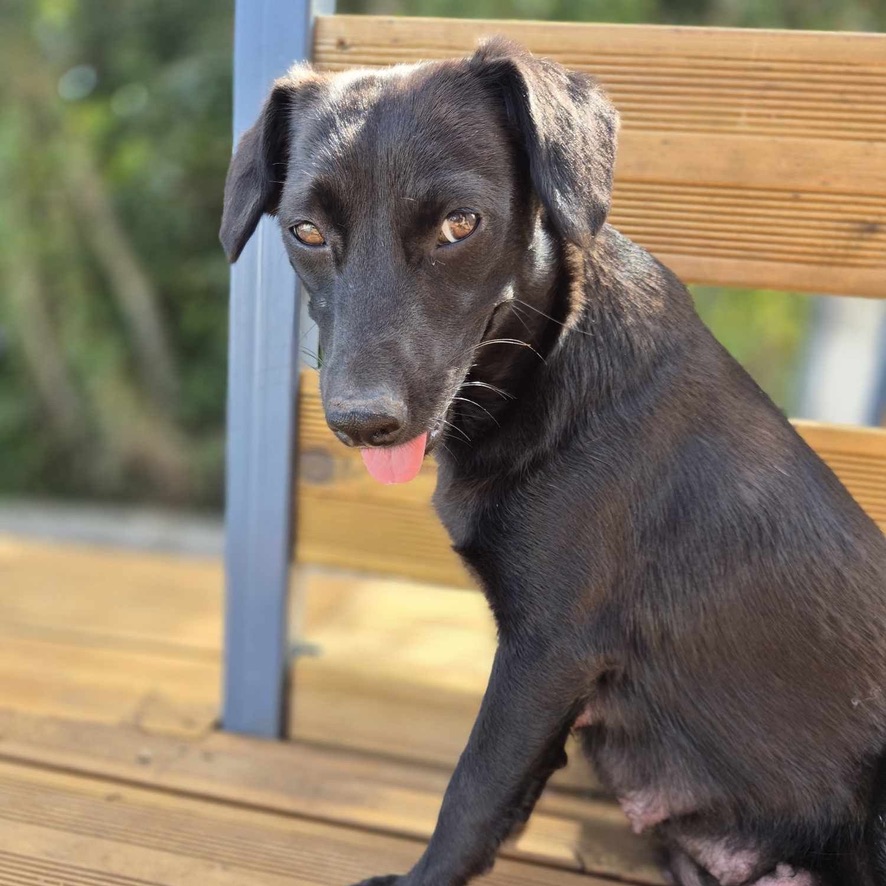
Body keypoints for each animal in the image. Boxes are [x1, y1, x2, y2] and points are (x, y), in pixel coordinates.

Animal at [220, 36, 886, 886]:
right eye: (305, 231)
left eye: (460, 224)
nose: (362, 421)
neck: (543, 365)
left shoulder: (547, 654)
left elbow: (475, 788)